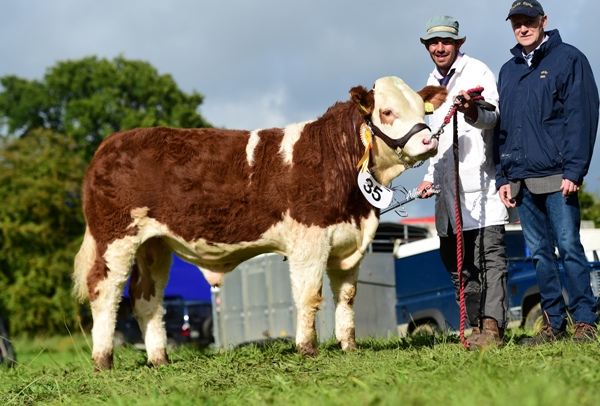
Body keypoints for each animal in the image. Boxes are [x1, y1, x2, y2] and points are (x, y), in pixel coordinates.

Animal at [72, 77, 446, 372]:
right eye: (388, 112)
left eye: (423, 110)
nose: (429, 141)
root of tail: (110, 144)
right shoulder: (309, 238)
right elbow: (310, 294)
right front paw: (307, 348)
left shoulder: (348, 242)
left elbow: (347, 296)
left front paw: (348, 345)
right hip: (116, 236)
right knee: (105, 291)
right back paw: (103, 361)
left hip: (154, 245)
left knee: (146, 297)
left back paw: (159, 359)